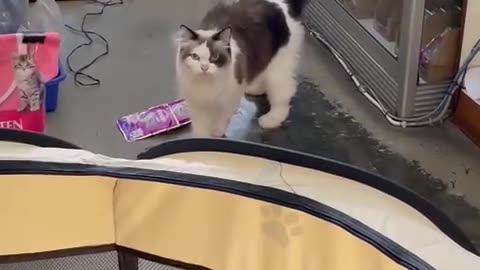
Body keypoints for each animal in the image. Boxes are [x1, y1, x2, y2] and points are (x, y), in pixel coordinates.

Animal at [174, 0, 306, 137]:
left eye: (214, 57)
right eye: (195, 57)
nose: (204, 67)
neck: (206, 86)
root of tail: (281, 3)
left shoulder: (229, 99)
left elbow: (221, 118)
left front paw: (216, 132)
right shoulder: (195, 104)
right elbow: (201, 128)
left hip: (279, 69)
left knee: (283, 96)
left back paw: (271, 119)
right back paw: (255, 89)